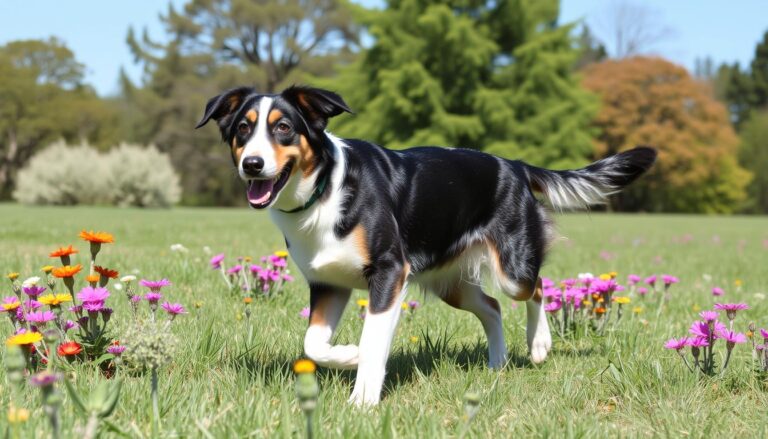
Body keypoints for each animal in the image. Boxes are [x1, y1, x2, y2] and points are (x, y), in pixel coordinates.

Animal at [195, 87, 656, 410]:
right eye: (242, 129)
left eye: (283, 128)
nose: (252, 164)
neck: (325, 191)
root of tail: (516, 165)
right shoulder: (328, 283)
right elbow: (314, 345)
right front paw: (347, 355)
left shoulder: (389, 272)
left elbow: (373, 342)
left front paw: (363, 397)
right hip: (449, 283)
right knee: (492, 306)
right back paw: (497, 363)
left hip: (512, 267)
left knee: (537, 288)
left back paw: (539, 345)